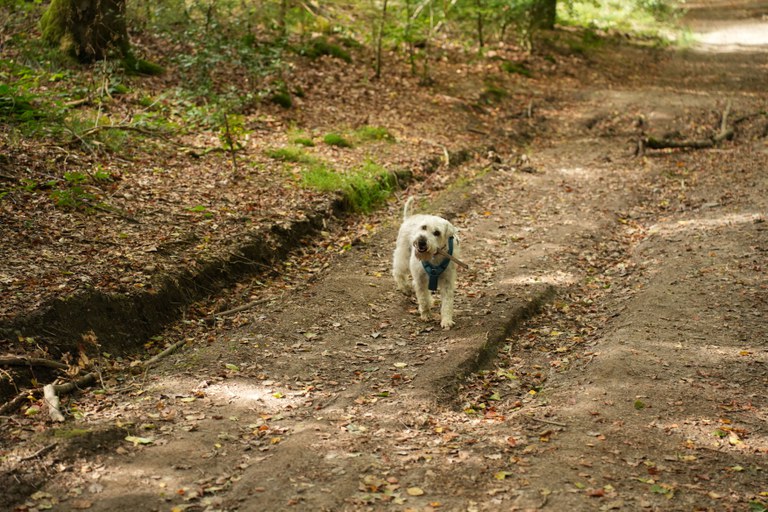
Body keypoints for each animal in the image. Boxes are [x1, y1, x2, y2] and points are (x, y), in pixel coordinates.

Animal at [392, 196, 460, 328]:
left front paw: (446, 320)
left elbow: (447, 302)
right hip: (403, 256)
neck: (434, 256)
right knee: (397, 272)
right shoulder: (420, 280)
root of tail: (409, 218)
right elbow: (423, 298)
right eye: (424, 227)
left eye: (437, 233)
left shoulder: (447, 282)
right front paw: (426, 315)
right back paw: (405, 288)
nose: (421, 241)